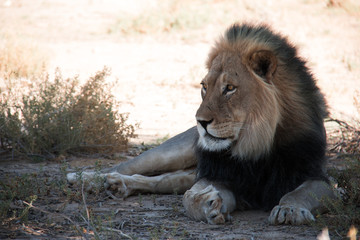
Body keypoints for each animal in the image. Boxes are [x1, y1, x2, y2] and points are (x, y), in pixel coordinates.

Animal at [67, 22, 334, 225]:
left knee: (167, 180)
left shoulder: (321, 178)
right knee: (131, 166)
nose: (200, 122)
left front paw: (289, 210)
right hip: (172, 152)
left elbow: (298, 193)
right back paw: (88, 179)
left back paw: (118, 185)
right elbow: (189, 197)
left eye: (229, 88)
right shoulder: (219, 175)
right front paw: (207, 203)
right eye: (205, 87)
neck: (255, 143)